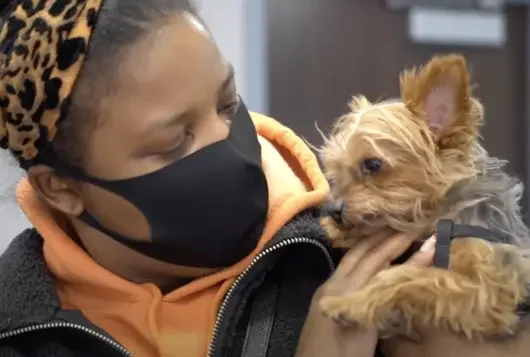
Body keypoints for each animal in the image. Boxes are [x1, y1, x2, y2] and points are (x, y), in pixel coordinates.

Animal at [316, 53, 528, 340]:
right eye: (335, 172)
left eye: (372, 164)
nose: (333, 211)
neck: (447, 217)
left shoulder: (491, 289)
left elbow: (409, 275)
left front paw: (350, 303)